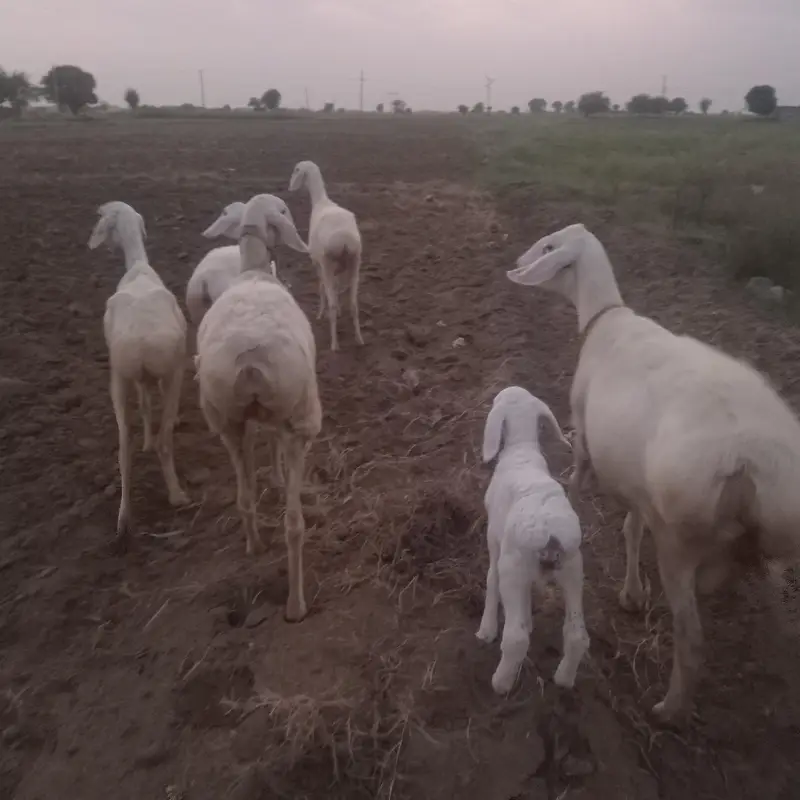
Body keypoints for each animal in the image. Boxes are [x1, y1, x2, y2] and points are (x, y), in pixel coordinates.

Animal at [88, 201, 189, 545]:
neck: (138, 268)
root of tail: (142, 341)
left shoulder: (141, 378)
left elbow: (145, 406)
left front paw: (146, 439)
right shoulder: (149, 377)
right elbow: (147, 407)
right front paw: (149, 439)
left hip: (121, 377)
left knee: (125, 447)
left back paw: (126, 519)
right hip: (168, 372)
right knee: (160, 441)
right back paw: (171, 497)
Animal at [288, 160, 364, 352]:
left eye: (296, 170)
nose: (290, 187)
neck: (321, 201)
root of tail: (344, 239)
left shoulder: (317, 263)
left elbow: (321, 287)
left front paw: (320, 313)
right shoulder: (339, 268)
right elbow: (336, 289)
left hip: (327, 262)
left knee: (332, 302)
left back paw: (334, 345)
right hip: (355, 262)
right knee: (353, 304)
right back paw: (359, 339)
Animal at [477, 386, 590, 695]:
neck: (521, 449)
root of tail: (550, 536)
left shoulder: (495, 541)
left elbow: (491, 579)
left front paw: (486, 629)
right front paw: (527, 620)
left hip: (515, 567)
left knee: (515, 638)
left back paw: (501, 682)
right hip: (573, 569)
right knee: (577, 635)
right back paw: (564, 679)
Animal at [506, 222, 800, 723]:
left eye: (549, 248)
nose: (519, 263)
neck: (606, 317)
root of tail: (750, 463)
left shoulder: (584, 429)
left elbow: (580, 477)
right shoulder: (637, 480)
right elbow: (631, 526)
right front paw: (632, 591)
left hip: (679, 534)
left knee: (692, 639)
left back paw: (669, 708)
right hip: (766, 542)